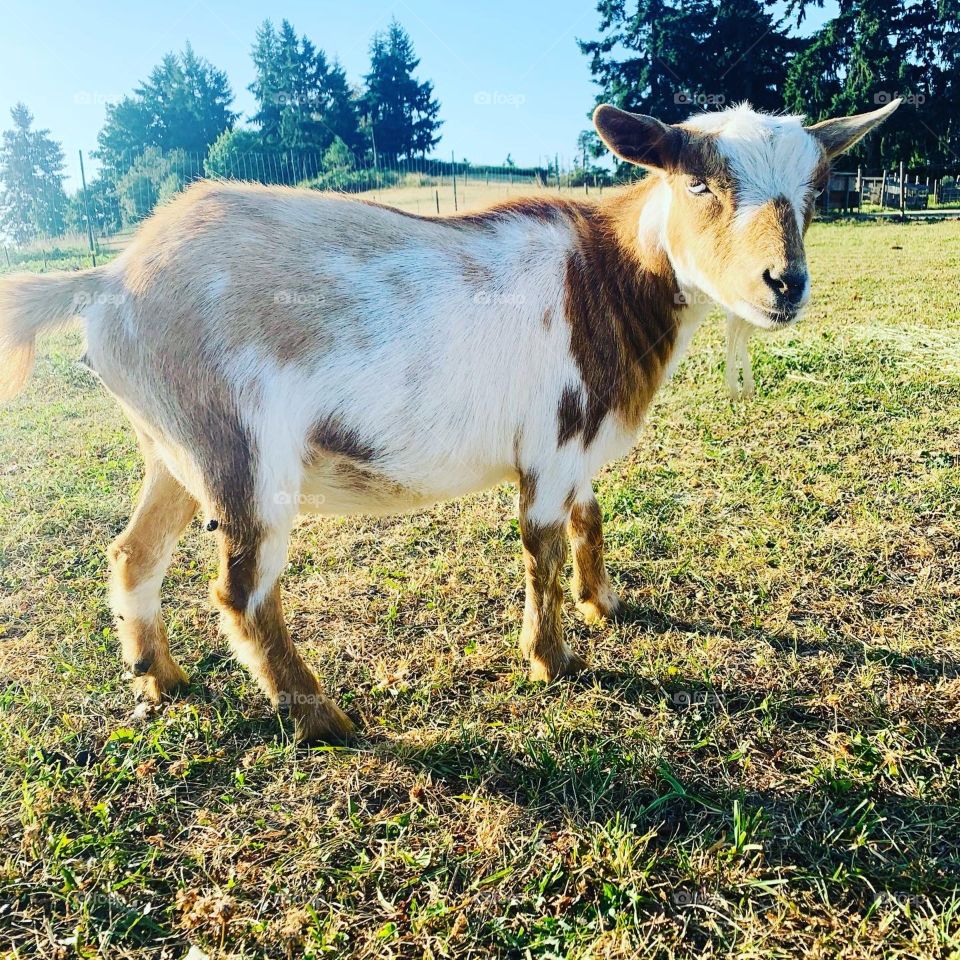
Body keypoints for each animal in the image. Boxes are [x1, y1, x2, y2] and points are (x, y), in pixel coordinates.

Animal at [0, 99, 899, 741]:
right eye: (699, 183)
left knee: (133, 553)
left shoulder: (575, 446)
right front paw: (550, 661)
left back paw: (160, 676)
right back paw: (324, 719)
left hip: (173, 445)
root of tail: (108, 279)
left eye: (819, 190)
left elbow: (592, 518)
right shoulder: (552, 441)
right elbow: (541, 546)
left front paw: (603, 605)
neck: (606, 277)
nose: (784, 284)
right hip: (244, 451)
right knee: (241, 590)